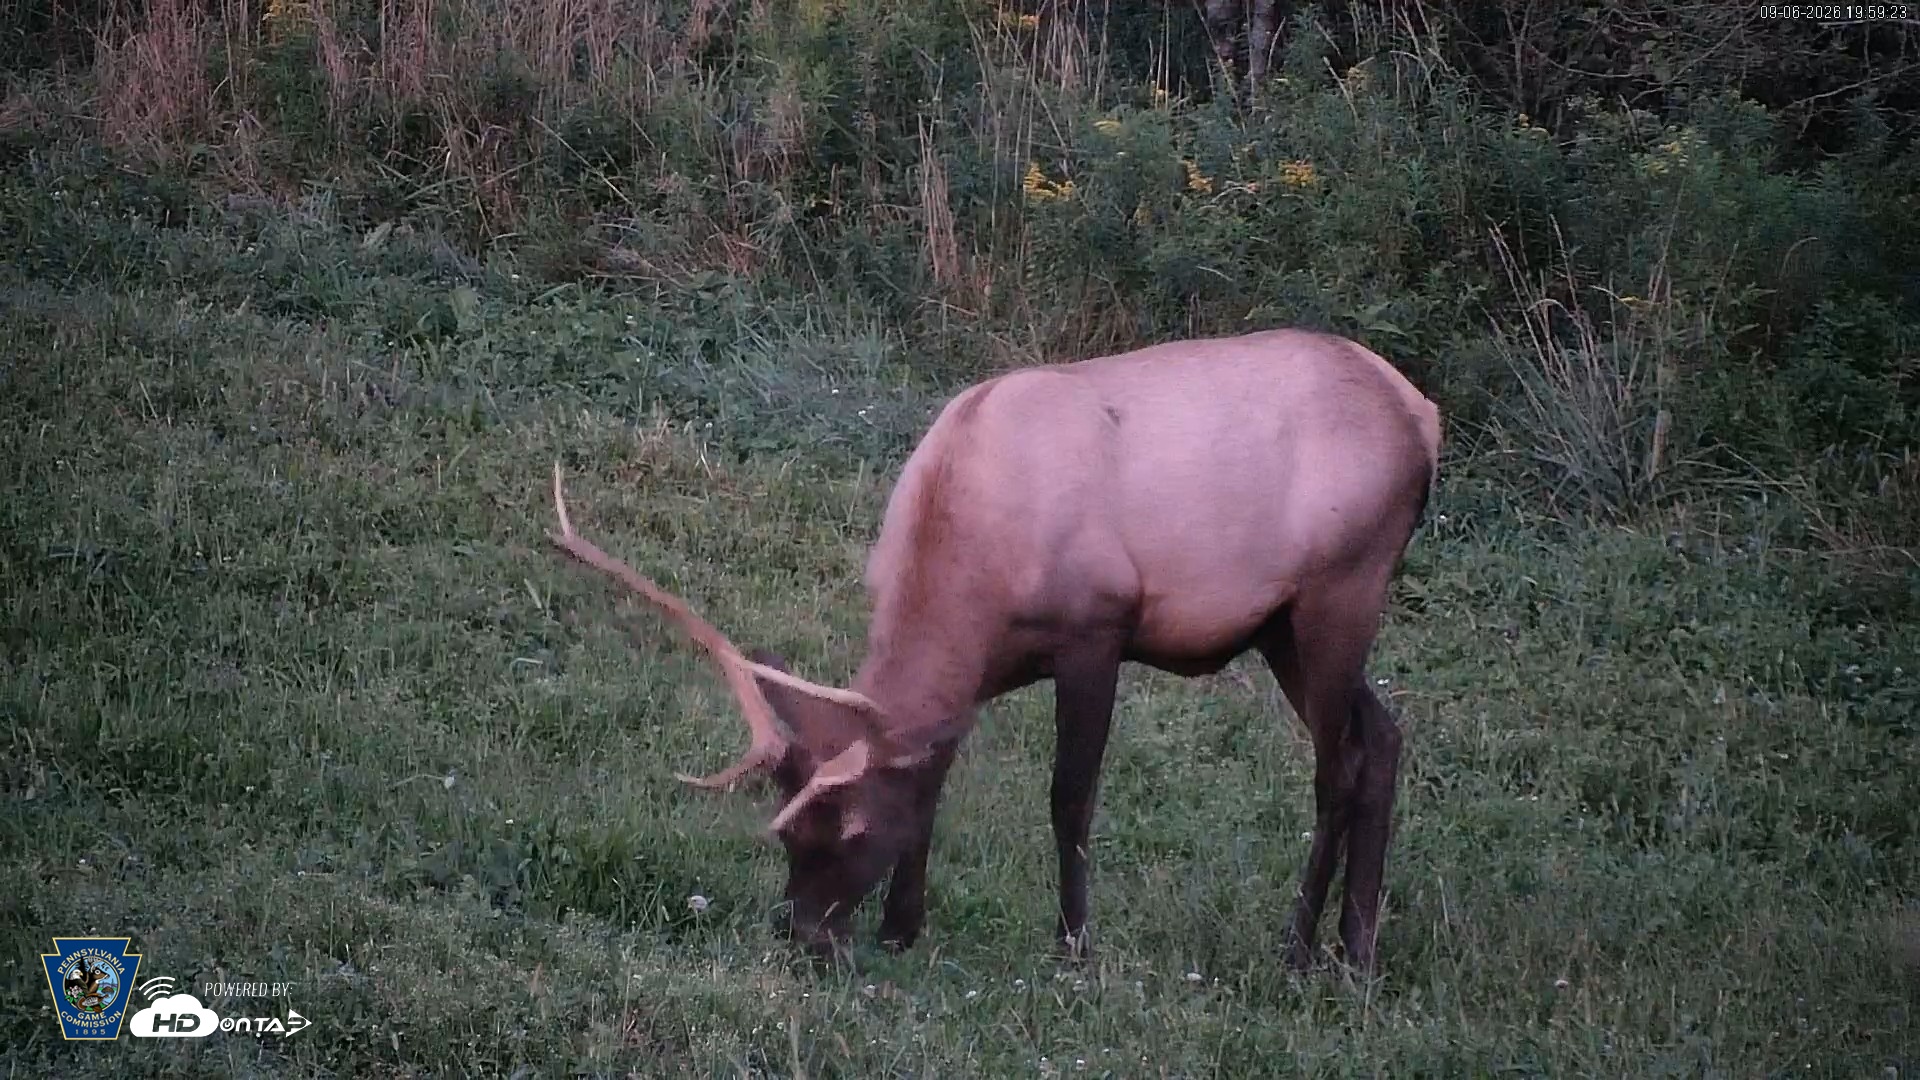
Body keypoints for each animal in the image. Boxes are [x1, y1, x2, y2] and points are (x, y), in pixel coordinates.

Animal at [546, 327, 1441, 972]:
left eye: (855, 834)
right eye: (788, 833)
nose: (807, 936)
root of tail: (1423, 416)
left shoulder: (1098, 630)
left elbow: (1069, 797)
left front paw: (1073, 942)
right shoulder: (974, 676)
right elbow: (935, 779)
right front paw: (904, 927)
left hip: (1341, 589)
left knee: (1338, 765)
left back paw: (1298, 948)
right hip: (1281, 627)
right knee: (1385, 735)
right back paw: (1358, 952)